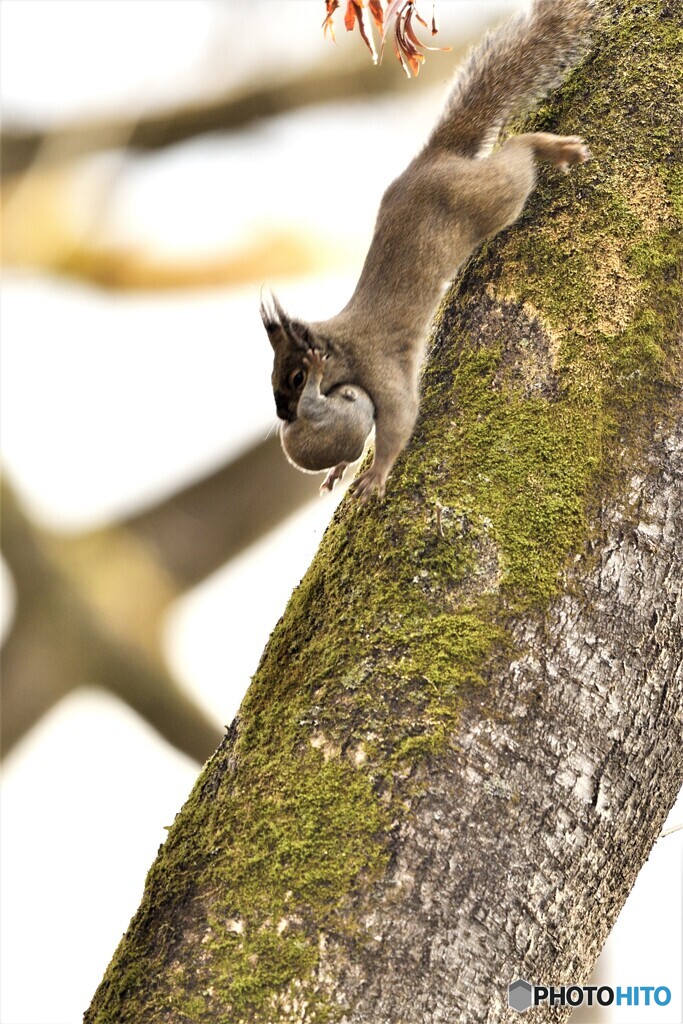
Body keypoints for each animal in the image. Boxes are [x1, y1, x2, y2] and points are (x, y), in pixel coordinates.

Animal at [262, 0, 593, 501]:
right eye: (273, 376)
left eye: (297, 378)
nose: (283, 414)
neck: (341, 348)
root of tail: (433, 159)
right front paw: (338, 470)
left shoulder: (380, 367)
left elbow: (400, 418)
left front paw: (375, 474)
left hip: (491, 197)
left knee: (519, 153)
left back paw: (554, 148)